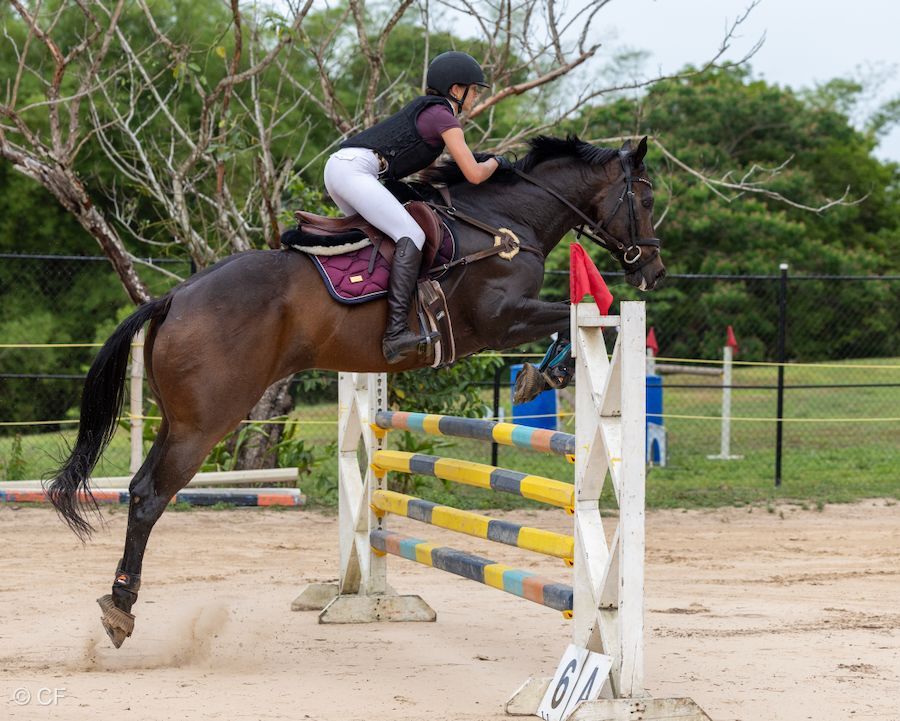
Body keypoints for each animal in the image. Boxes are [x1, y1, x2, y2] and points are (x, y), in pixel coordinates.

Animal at [46, 134, 665, 648]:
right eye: (646, 197)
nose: (653, 271)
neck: (502, 222)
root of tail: (175, 297)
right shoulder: (499, 319)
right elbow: (579, 316)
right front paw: (551, 370)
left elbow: (574, 317)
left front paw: (545, 373)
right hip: (205, 424)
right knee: (152, 495)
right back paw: (121, 609)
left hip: (179, 420)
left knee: (139, 487)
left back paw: (118, 602)